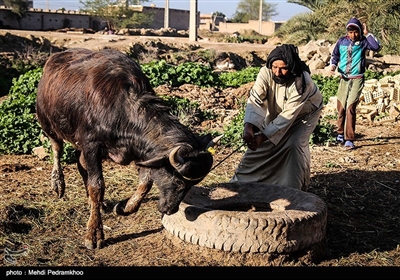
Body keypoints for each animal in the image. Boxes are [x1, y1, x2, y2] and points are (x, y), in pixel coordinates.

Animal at [36, 48, 219, 249]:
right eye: (178, 182)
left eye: (191, 185)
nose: (170, 209)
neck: (121, 108)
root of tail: (53, 60)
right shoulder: (91, 146)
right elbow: (96, 185)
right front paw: (94, 233)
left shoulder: (141, 152)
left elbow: (145, 183)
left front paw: (124, 207)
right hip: (48, 125)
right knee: (57, 150)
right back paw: (58, 184)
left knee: (80, 164)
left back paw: (100, 204)